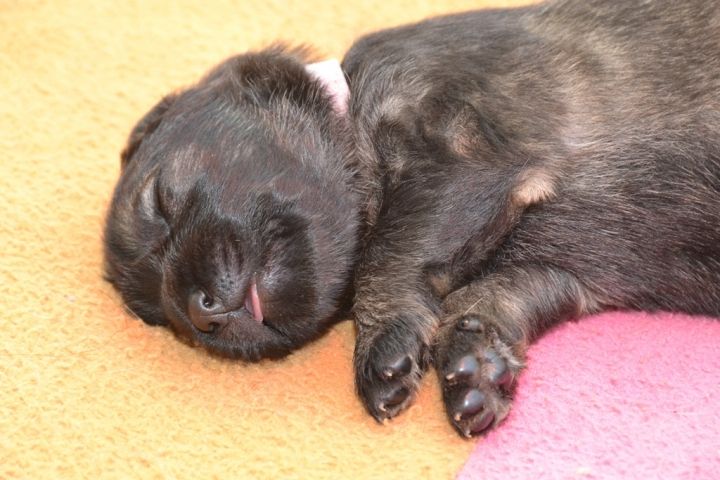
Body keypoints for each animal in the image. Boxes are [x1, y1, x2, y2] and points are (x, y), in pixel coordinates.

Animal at [105, 0, 720, 437]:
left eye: (161, 203)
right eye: (160, 317)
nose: (198, 311)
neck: (350, 103)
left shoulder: (460, 154)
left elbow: (389, 250)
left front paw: (383, 343)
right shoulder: (563, 274)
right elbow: (491, 295)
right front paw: (476, 361)